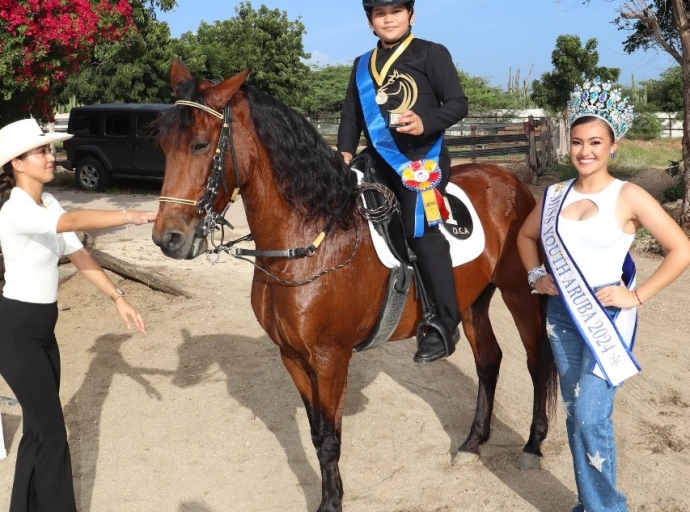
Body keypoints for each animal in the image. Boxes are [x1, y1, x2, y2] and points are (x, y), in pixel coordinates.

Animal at [153, 60, 556, 512]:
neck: (312, 238)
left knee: (537, 361)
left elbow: (331, 439)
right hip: (472, 302)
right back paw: (471, 444)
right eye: (164, 146)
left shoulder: (330, 359)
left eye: (201, 145)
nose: (168, 238)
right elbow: (317, 435)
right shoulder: (293, 356)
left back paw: (532, 446)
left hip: (519, 293)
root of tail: (510, 179)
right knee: (489, 360)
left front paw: (332, 504)